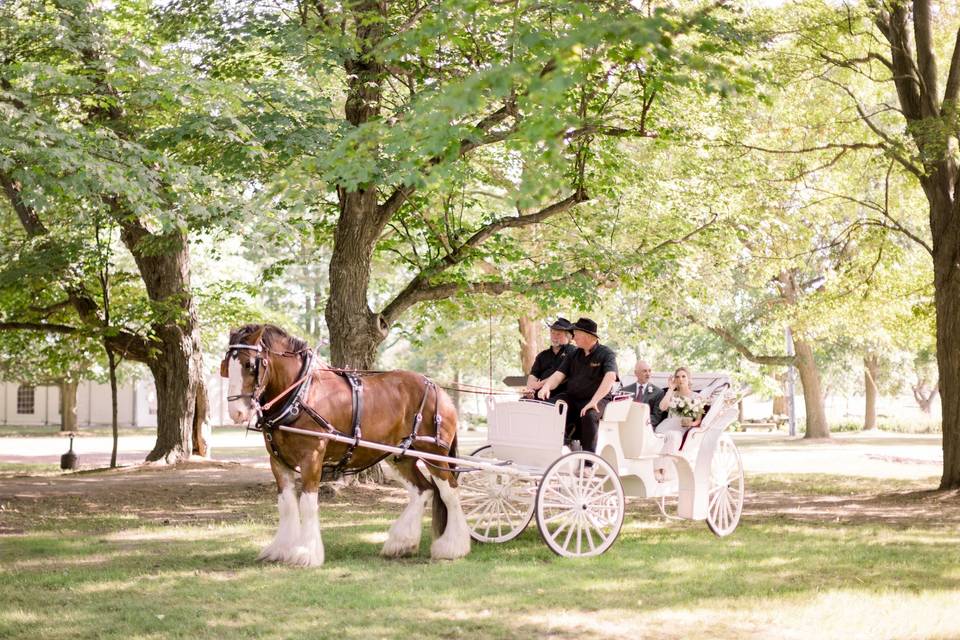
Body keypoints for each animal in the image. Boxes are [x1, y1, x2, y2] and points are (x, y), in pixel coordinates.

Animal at [221, 324, 468, 564]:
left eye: (249, 365)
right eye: (226, 367)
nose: (236, 412)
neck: (301, 394)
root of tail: (437, 388)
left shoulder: (312, 457)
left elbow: (307, 503)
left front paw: (307, 554)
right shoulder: (277, 461)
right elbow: (286, 504)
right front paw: (280, 549)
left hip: (435, 452)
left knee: (450, 491)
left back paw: (453, 547)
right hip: (400, 456)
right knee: (422, 490)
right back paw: (401, 543)